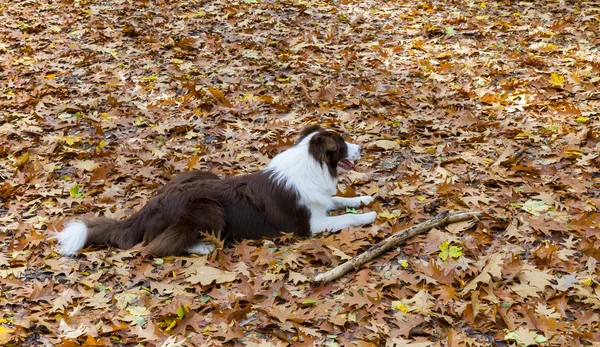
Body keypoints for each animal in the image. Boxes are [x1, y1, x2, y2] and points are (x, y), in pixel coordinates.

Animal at [56, 126, 376, 256]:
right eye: (343, 144)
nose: (362, 147)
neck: (313, 164)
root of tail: (148, 207)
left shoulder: (320, 203)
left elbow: (339, 199)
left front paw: (364, 198)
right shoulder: (311, 224)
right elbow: (345, 217)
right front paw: (369, 216)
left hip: (196, 174)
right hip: (207, 207)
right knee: (157, 247)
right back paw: (204, 246)